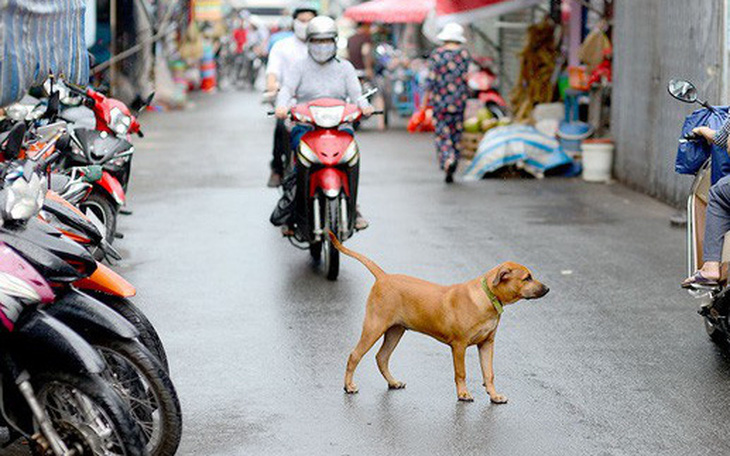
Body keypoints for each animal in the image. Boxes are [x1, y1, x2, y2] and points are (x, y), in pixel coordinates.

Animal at [330, 235, 544, 402]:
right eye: (527, 278)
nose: (547, 289)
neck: (486, 297)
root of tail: (383, 276)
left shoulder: (487, 344)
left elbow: (489, 373)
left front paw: (494, 395)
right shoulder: (459, 345)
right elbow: (461, 372)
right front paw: (463, 394)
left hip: (395, 330)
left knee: (381, 357)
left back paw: (393, 382)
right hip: (374, 326)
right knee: (354, 355)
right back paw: (348, 386)